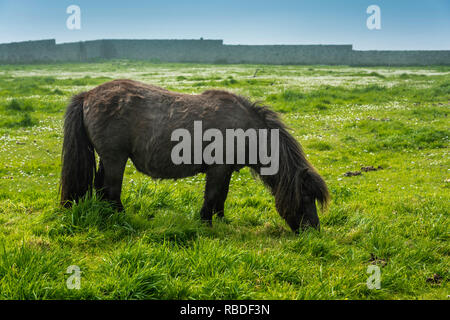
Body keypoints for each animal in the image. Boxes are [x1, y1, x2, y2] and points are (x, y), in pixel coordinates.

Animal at [59, 79, 328, 231]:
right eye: (306, 197)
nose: (314, 231)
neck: (246, 130)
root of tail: (87, 95)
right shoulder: (217, 169)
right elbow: (212, 196)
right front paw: (206, 224)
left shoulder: (225, 171)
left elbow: (221, 197)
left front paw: (221, 221)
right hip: (115, 158)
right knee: (112, 190)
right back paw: (121, 219)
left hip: (107, 159)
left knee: (101, 188)